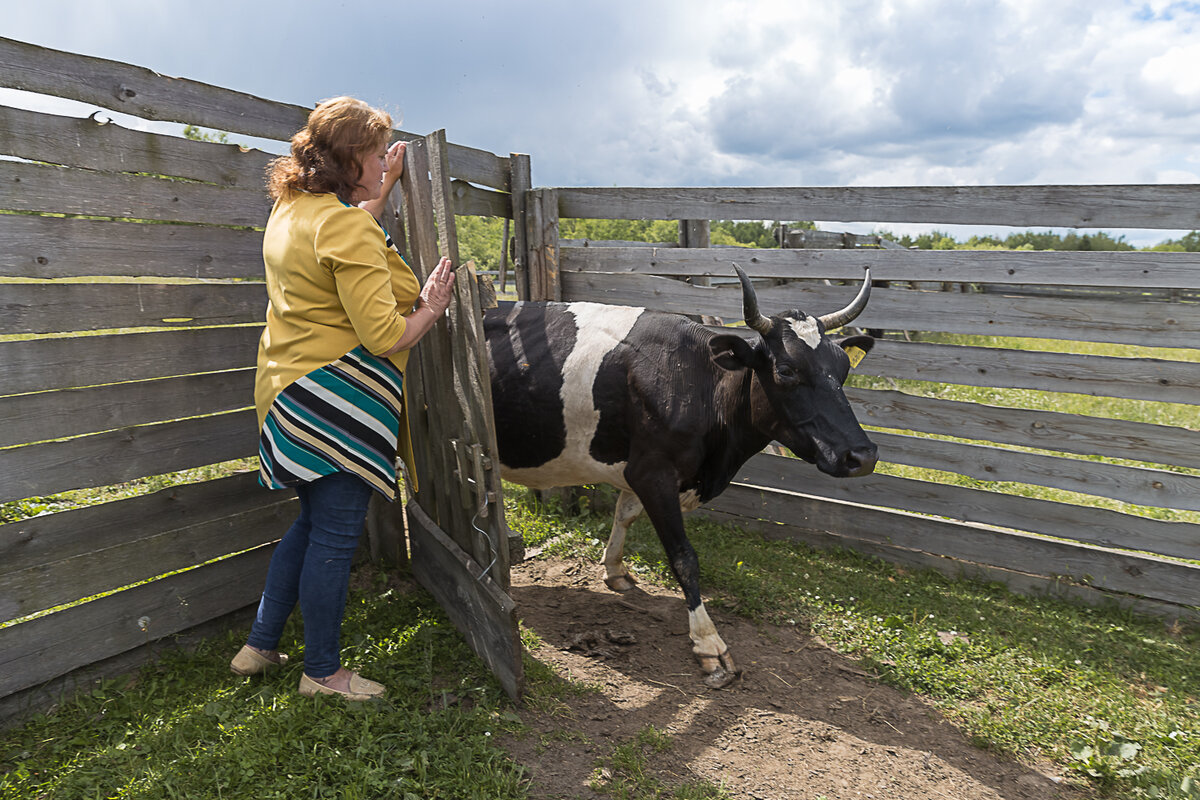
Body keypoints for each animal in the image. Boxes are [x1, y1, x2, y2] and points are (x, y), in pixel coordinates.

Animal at [482, 263, 878, 690]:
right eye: (786, 371)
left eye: (843, 369)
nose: (863, 455)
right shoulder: (653, 472)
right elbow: (684, 557)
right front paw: (709, 644)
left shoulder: (641, 468)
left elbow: (624, 515)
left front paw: (615, 570)